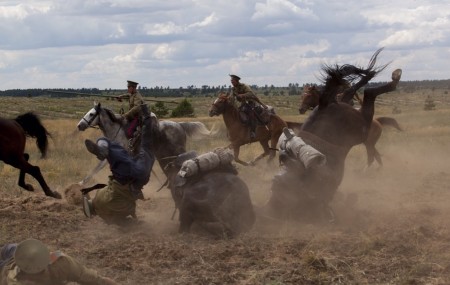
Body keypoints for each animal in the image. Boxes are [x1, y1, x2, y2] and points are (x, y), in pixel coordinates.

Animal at [262, 48, 402, 222]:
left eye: (308, 95)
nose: (301, 109)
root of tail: (323, 106)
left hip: (361, 128)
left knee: (362, 91)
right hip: (360, 126)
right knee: (363, 91)